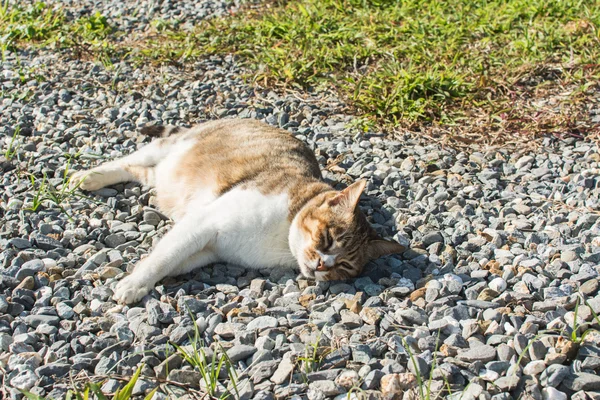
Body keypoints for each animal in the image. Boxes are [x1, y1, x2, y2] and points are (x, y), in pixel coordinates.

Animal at [71, 118, 408, 304]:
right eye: (327, 238)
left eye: (346, 265)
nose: (323, 265)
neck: (279, 241)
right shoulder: (202, 223)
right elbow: (162, 257)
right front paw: (134, 284)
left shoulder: (208, 249)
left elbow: (172, 259)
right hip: (167, 147)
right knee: (129, 159)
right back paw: (88, 176)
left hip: (160, 176)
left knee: (139, 171)